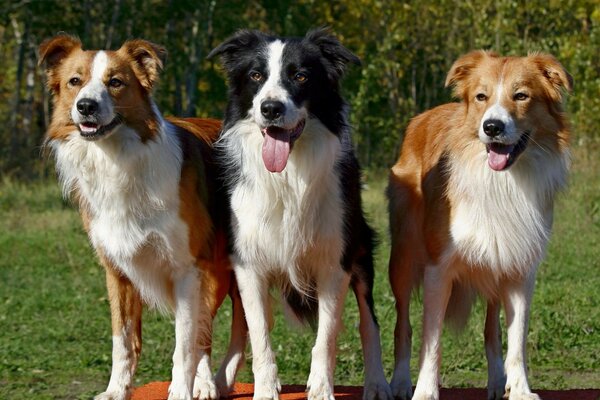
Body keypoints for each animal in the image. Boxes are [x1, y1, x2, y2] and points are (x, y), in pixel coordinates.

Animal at [39, 35, 246, 400]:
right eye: (74, 81)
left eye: (115, 82)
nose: (86, 106)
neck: (117, 159)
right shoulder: (117, 269)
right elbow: (123, 341)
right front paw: (116, 390)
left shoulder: (187, 267)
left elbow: (185, 343)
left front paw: (182, 391)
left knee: (224, 331)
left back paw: (214, 382)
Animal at [209, 29, 392, 400]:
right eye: (256, 76)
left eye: (301, 76)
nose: (270, 108)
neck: (288, 175)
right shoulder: (248, 263)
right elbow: (259, 333)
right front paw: (265, 390)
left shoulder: (334, 263)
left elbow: (327, 336)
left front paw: (321, 389)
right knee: (243, 325)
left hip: (361, 251)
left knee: (369, 322)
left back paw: (378, 383)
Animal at [386, 50, 576, 400]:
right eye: (481, 97)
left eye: (521, 95)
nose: (492, 127)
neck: (501, 182)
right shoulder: (438, 269)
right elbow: (431, 341)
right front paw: (425, 391)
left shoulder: (520, 271)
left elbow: (516, 341)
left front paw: (520, 389)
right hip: (403, 258)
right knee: (402, 325)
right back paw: (402, 382)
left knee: (492, 329)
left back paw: (498, 381)